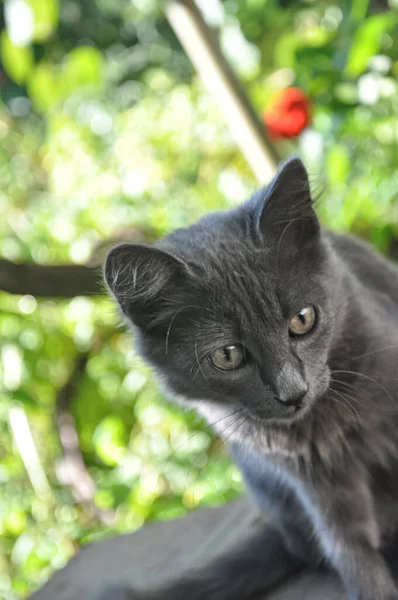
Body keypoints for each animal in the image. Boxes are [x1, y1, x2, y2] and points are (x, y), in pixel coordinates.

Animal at [102, 158, 398, 600]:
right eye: (227, 356)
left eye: (303, 319)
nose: (293, 392)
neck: (327, 422)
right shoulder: (316, 481)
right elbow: (351, 548)